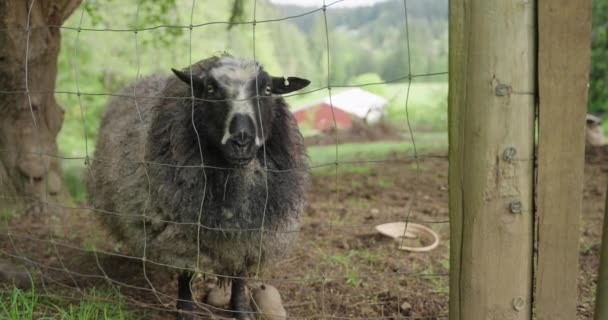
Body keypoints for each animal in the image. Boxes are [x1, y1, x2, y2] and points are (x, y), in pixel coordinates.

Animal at [86, 55, 308, 320]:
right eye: (210, 89)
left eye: (266, 90)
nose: (242, 141)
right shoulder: (180, 231)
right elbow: (186, 273)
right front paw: (185, 310)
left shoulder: (253, 234)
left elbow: (240, 275)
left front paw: (241, 309)